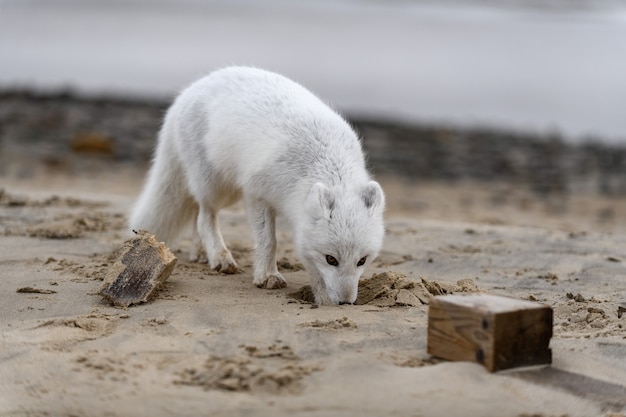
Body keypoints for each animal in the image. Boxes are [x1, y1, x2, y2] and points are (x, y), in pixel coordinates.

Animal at [130, 66, 386, 304]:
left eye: (362, 261)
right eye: (331, 259)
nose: (345, 302)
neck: (322, 162)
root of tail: (187, 92)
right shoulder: (256, 194)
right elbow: (268, 241)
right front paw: (267, 276)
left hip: (228, 192)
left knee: (197, 213)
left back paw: (201, 254)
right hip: (216, 185)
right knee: (204, 217)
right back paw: (220, 257)